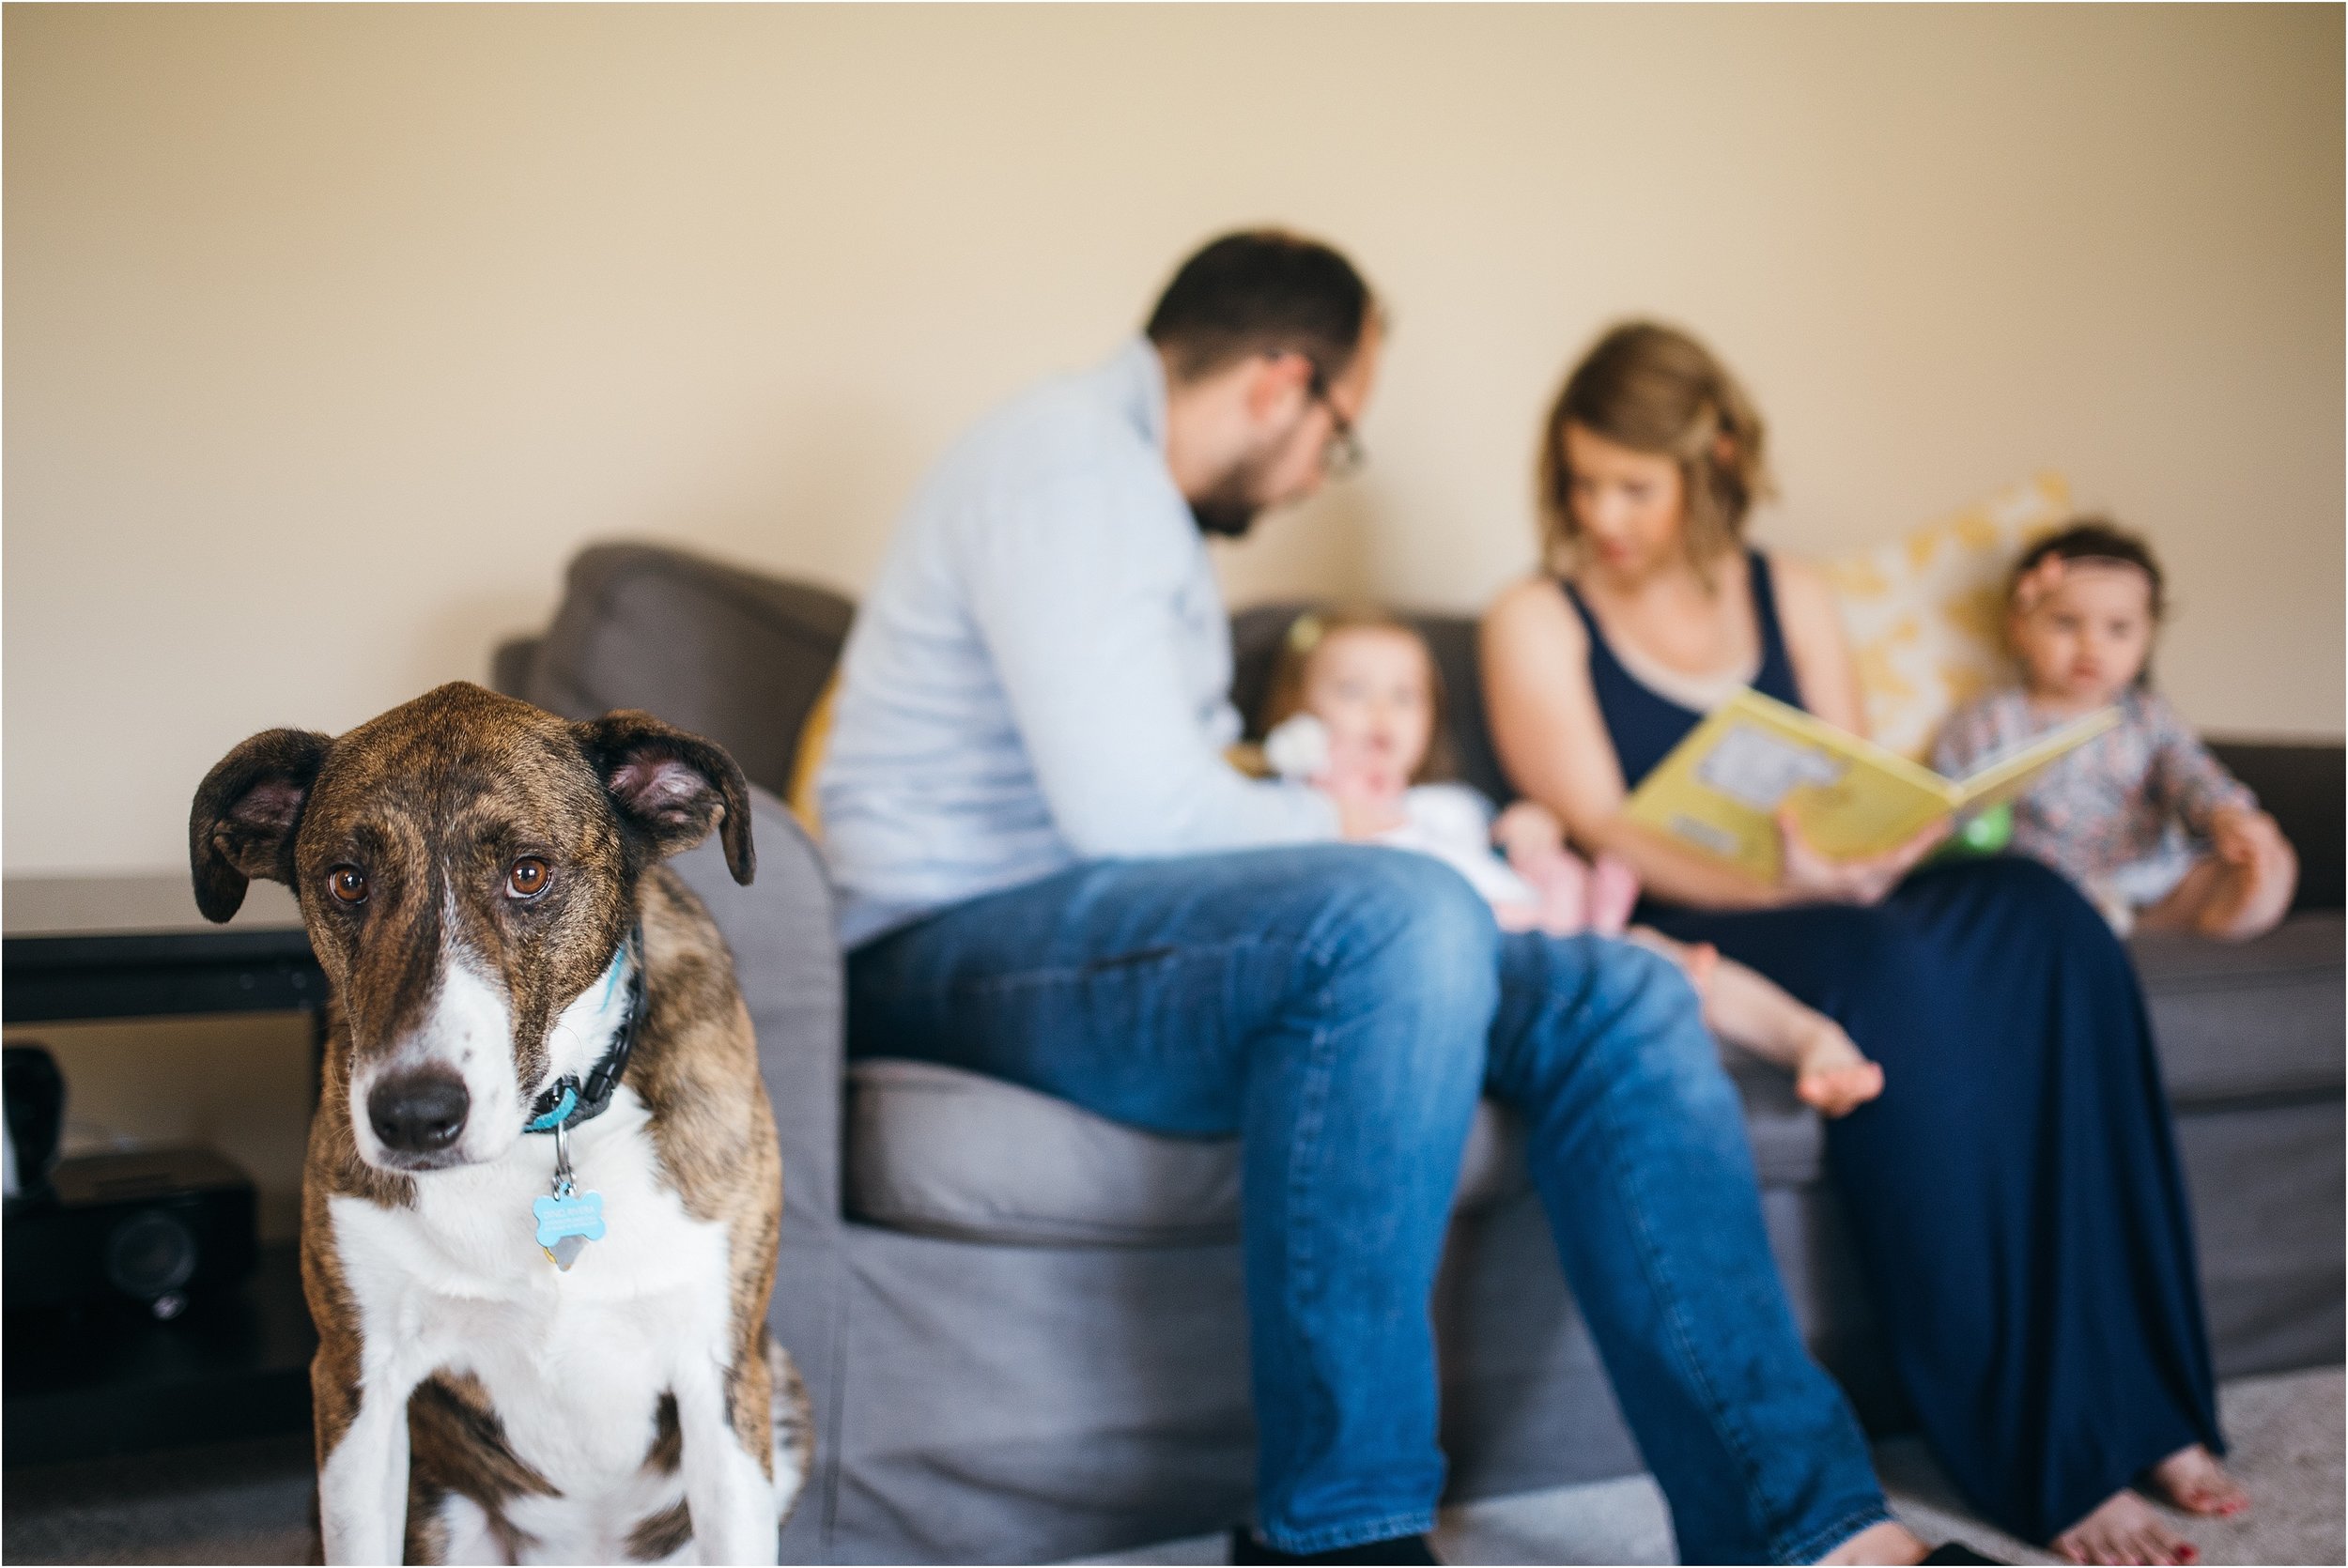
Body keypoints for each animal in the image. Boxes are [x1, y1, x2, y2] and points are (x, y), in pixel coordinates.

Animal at [188, 681, 808, 1559]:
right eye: (347, 881)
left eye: (529, 873)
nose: (414, 1118)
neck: (542, 1137)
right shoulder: (357, 1383)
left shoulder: (721, 1378)